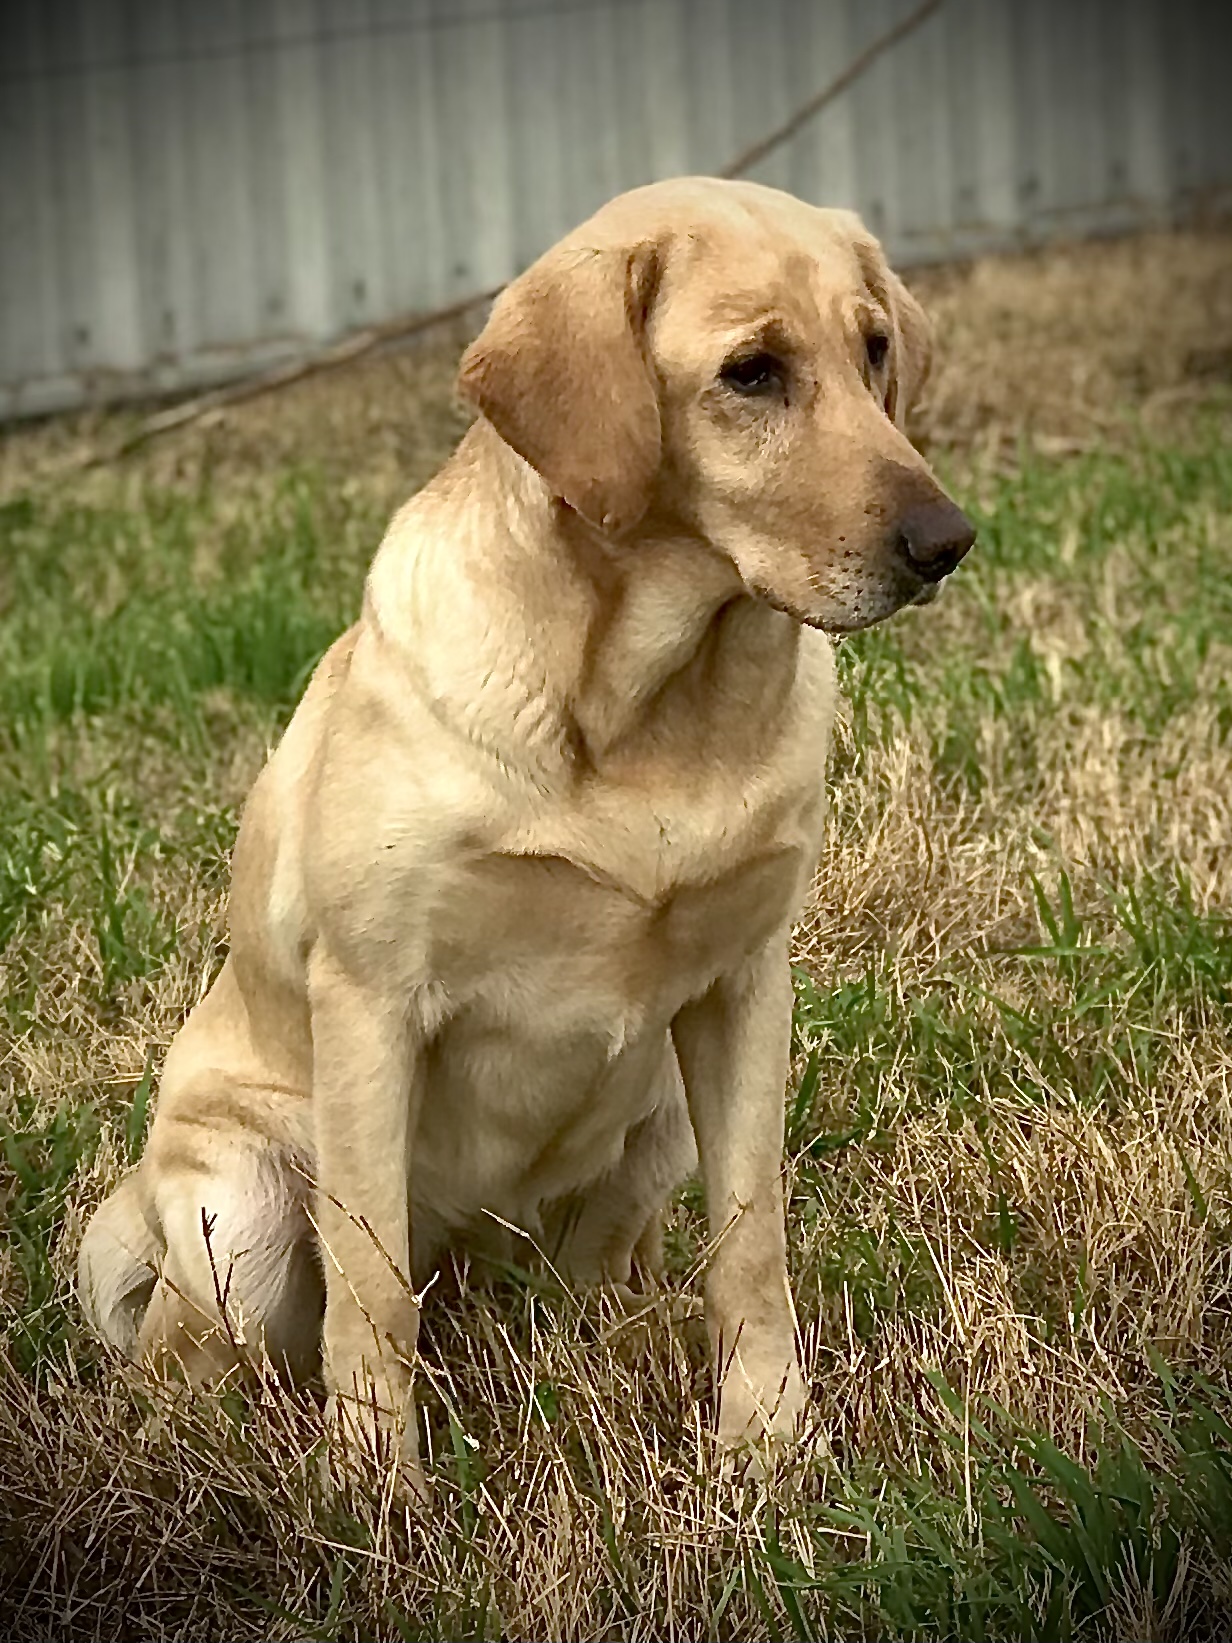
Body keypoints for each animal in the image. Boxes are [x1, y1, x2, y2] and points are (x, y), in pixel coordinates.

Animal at [82, 173, 979, 1485]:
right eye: (751, 372)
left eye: (872, 351)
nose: (943, 542)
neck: (644, 703)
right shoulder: (371, 1002)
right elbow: (369, 1287)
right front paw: (377, 1492)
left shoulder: (746, 985)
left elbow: (750, 1241)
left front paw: (766, 1444)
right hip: (235, 1213)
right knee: (194, 1361)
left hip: (659, 1113)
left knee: (599, 1284)